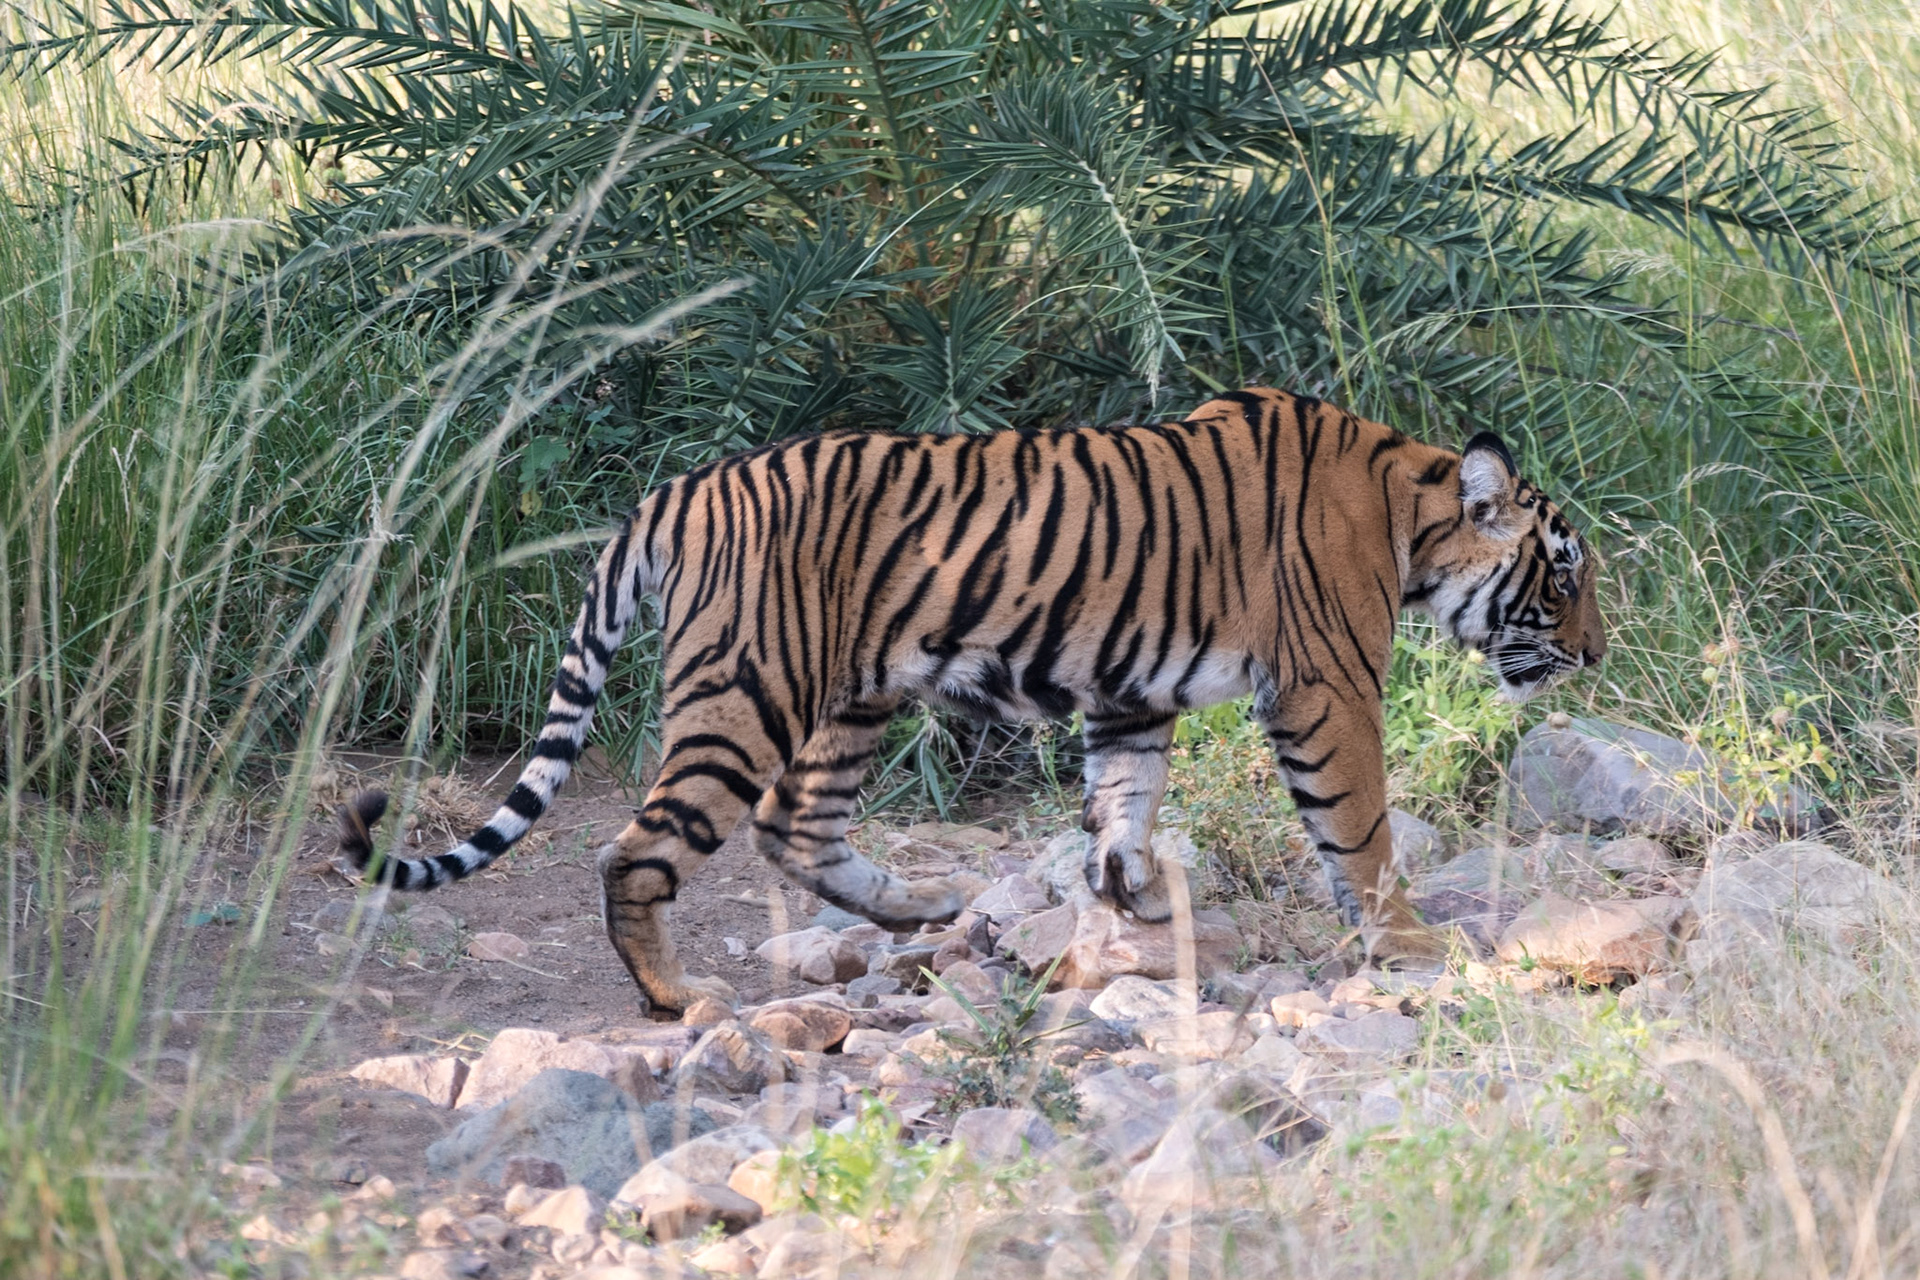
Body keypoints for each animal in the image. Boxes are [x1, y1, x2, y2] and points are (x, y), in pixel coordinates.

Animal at [338, 386, 1605, 1011]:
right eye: (1566, 574)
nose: (1596, 654)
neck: (1409, 509)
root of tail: (677, 491)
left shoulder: (1133, 688)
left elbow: (1123, 800)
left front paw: (1129, 907)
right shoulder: (1327, 686)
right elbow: (1362, 828)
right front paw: (1410, 940)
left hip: (853, 693)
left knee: (795, 822)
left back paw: (923, 906)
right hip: (747, 691)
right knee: (640, 848)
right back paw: (674, 994)